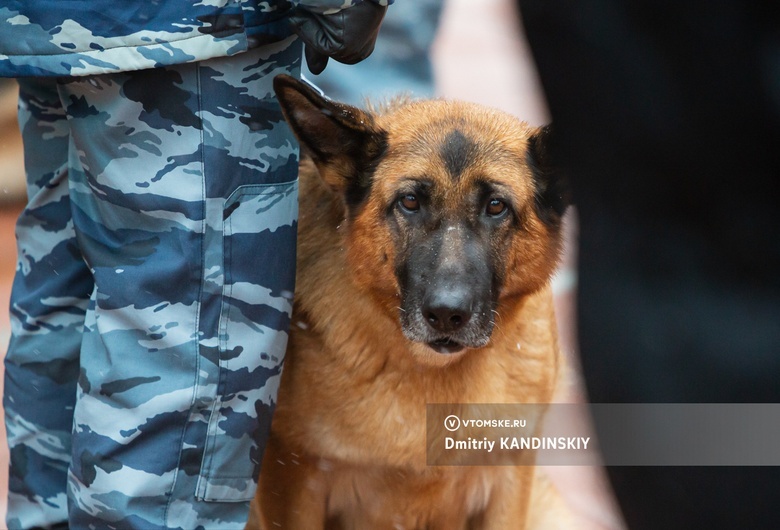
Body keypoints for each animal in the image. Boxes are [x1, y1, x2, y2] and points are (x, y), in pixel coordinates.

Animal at [247, 75, 568, 528]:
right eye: (410, 202)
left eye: (496, 206)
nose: (447, 315)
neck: (432, 374)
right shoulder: (291, 479)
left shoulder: (510, 477)